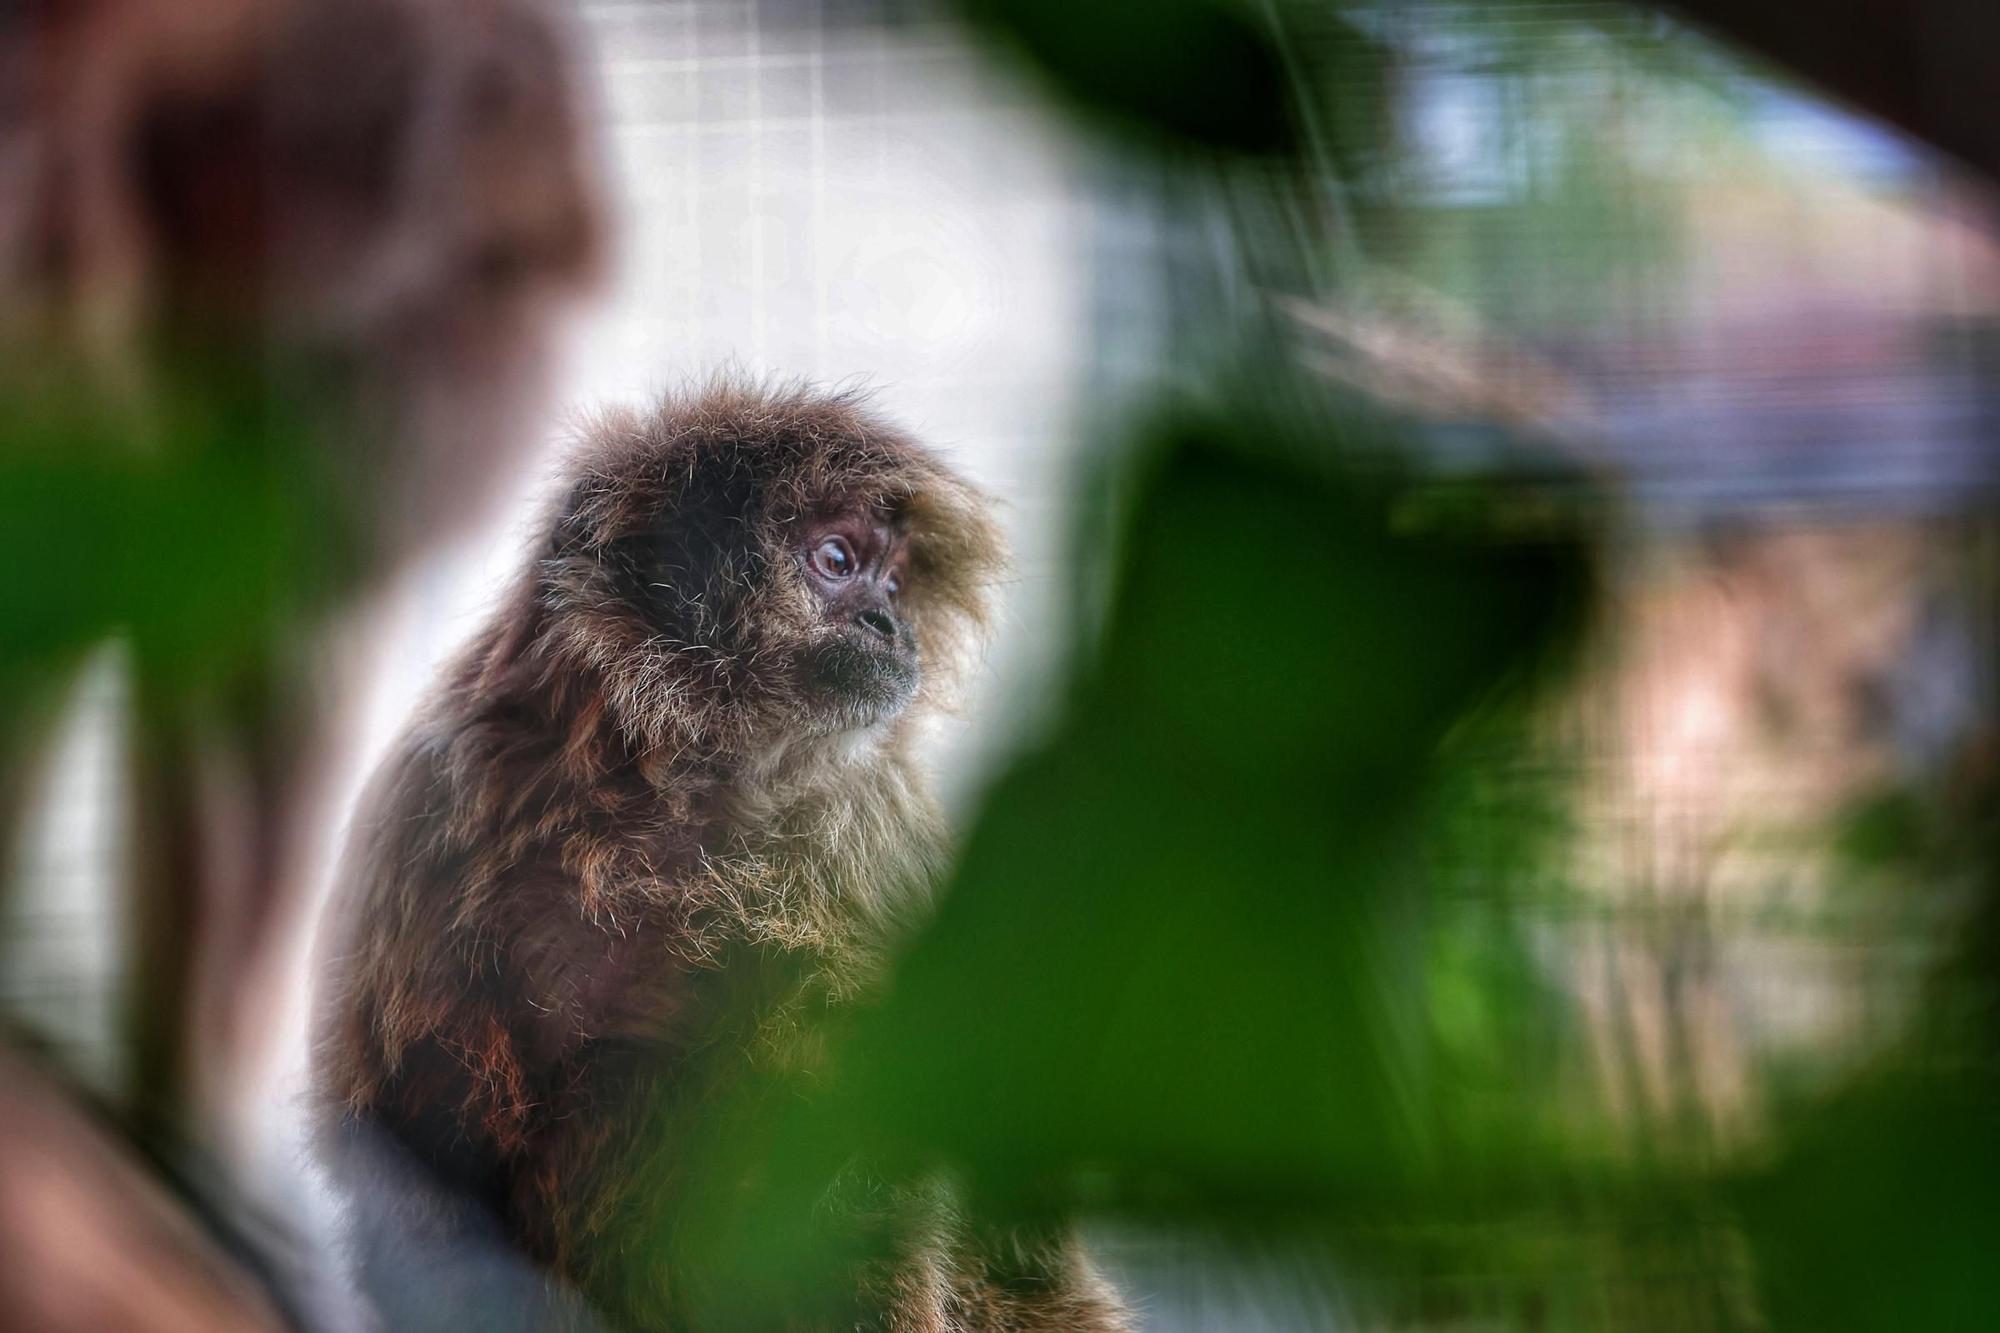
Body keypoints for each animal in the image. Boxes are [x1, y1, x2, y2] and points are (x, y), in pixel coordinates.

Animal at [308, 382, 1128, 1328]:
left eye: (893, 580)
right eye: (838, 559)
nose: (890, 622)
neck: (666, 795)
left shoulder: (875, 826)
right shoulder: (441, 788)